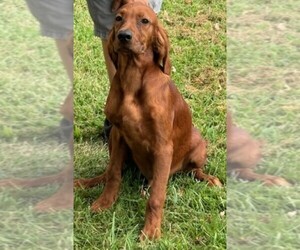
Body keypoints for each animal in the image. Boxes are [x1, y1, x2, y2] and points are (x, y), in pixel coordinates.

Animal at [74, 1, 221, 240]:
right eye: (119, 18)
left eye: (145, 21)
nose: (124, 36)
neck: (133, 78)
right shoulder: (118, 134)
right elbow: (113, 173)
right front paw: (105, 202)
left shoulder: (163, 147)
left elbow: (157, 196)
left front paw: (151, 230)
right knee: (110, 171)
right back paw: (87, 182)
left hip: (199, 146)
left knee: (192, 170)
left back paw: (208, 178)